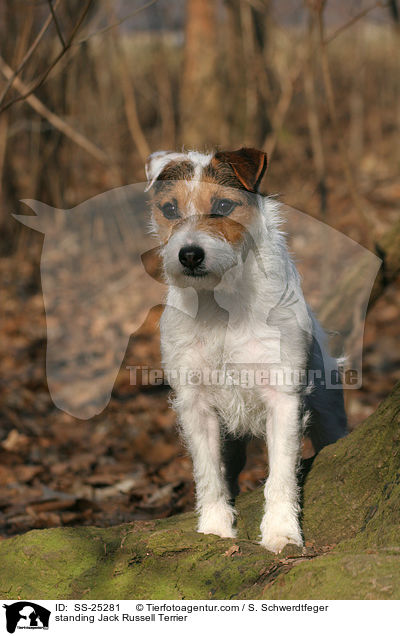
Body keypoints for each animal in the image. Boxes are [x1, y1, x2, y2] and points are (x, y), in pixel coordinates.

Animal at [145, 148, 346, 552]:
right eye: (170, 209)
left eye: (223, 205)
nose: (190, 255)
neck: (221, 305)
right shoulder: (197, 405)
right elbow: (209, 476)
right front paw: (214, 529)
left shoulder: (283, 399)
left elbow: (281, 475)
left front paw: (281, 531)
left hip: (329, 413)